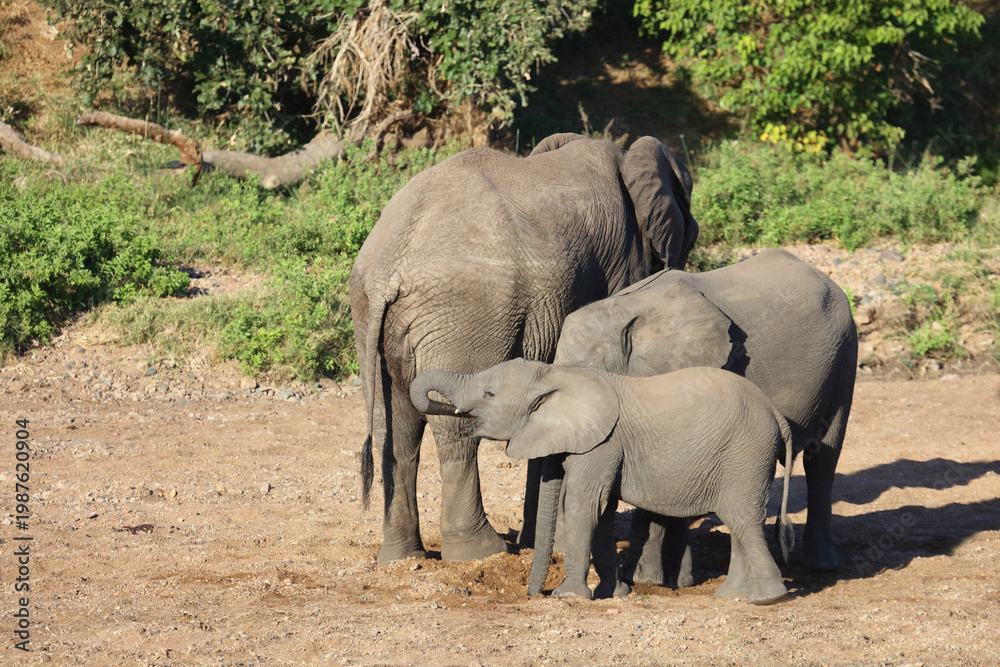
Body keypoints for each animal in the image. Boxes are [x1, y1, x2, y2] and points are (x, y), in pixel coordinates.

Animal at [350, 133, 699, 563]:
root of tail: (387, 266)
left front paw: (540, 540)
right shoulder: (624, 261)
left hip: (373, 317)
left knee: (394, 427)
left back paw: (403, 556)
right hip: (464, 313)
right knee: (455, 423)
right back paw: (480, 552)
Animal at [410, 359, 795, 604]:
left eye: (489, 394)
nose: (533, 595)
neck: (557, 373)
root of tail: (777, 414)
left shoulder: (604, 443)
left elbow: (584, 504)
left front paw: (568, 596)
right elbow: (603, 510)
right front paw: (616, 594)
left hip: (746, 452)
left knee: (742, 518)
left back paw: (767, 599)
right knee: (741, 520)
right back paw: (734, 596)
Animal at [545, 248, 857, 586]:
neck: (623, 311)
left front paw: (644, 579)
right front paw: (672, 580)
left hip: (844, 354)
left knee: (823, 457)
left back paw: (821, 565)